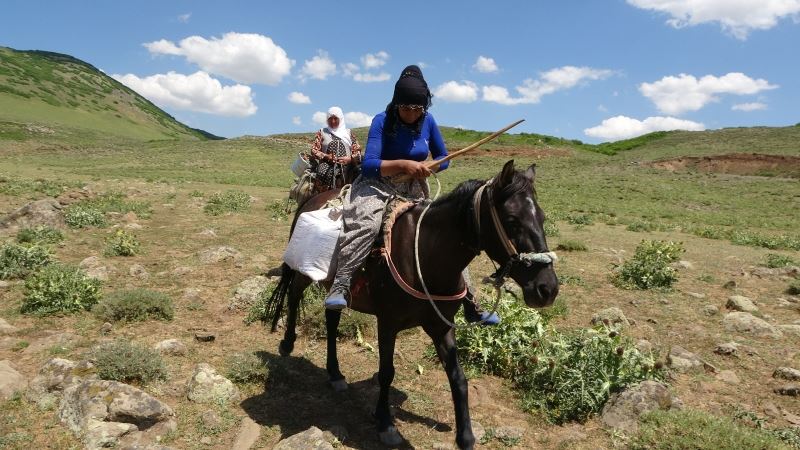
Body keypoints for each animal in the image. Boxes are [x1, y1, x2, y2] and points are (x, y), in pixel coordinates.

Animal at [266, 160, 560, 448]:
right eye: (512, 220)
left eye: (542, 218)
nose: (547, 289)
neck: (427, 255)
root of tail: (315, 198)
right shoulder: (387, 324)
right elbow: (386, 372)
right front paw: (386, 424)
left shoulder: (441, 326)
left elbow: (458, 378)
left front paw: (465, 436)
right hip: (306, 274)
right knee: (294, 296)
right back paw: (287, 344)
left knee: (331, 318)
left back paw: (335, 373)